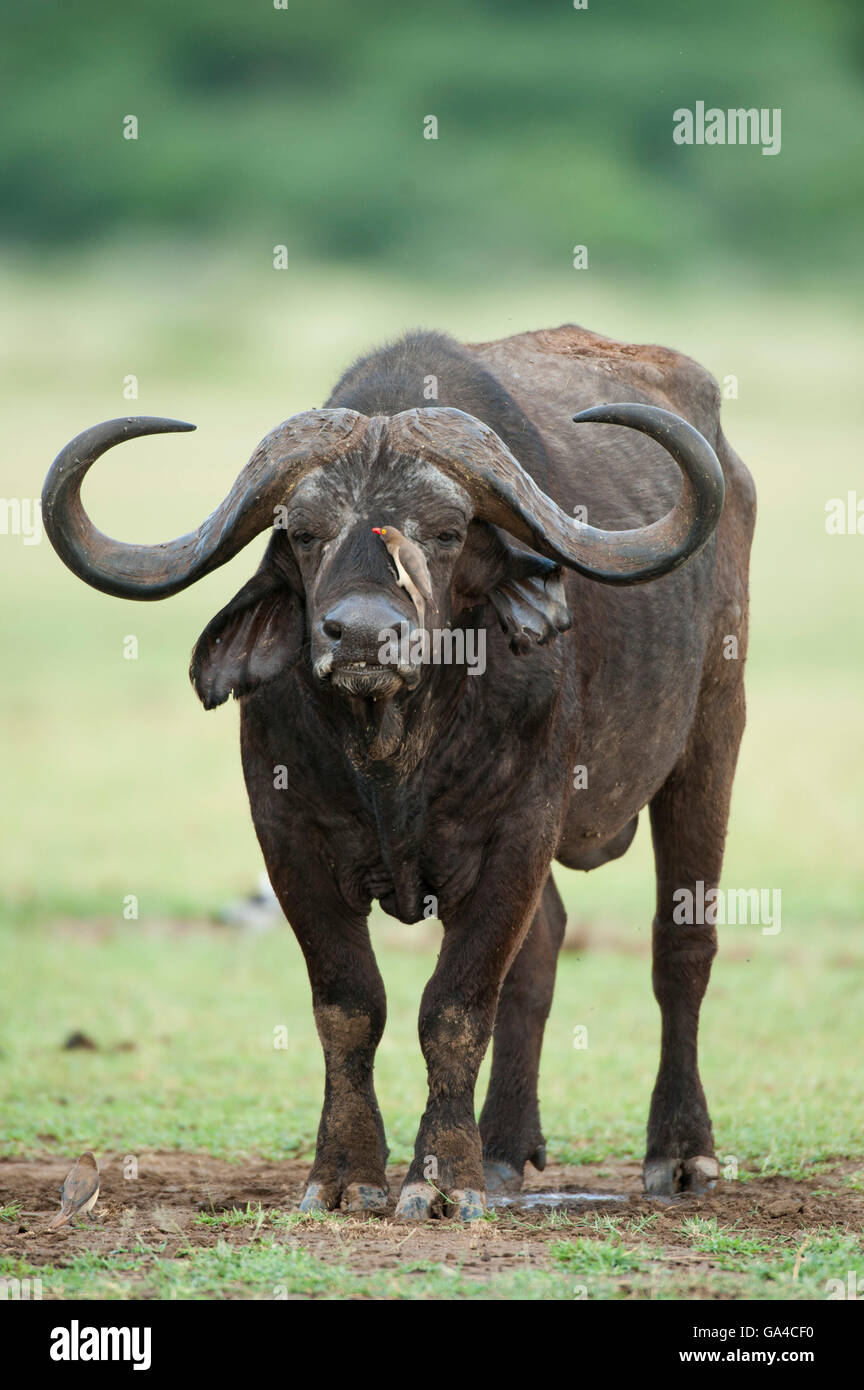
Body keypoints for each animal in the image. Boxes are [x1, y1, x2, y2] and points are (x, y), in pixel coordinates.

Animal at [44, 322, 755, 1217]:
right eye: (304, 532)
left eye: (447, 532)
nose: (360, 635)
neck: (392, 753)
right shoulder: (286, 834)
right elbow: (352, 1003)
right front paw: (348, 1172)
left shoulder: (521, 829)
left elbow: (454, 1005)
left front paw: (441, 1179)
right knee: (544, 948)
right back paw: (505, 1148)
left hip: (713, 736)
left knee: (681, 947)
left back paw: (680, 1152)